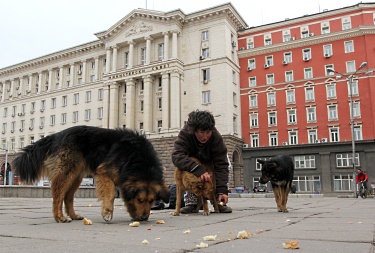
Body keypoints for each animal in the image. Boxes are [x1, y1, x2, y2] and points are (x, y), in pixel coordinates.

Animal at [12, 125, 170, 222]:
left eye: (152, 201)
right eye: (139, 199)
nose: (144, 218)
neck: (136, 157)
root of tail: (57, 135)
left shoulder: (123, 179)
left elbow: (126, 199)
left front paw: (133, 215)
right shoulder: (104, 173)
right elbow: (110, 195)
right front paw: (107, 212)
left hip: (76, 176)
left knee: (67, 197)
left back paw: (73, 215)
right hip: (67, 173)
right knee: (58, 195)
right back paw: (59, 217)